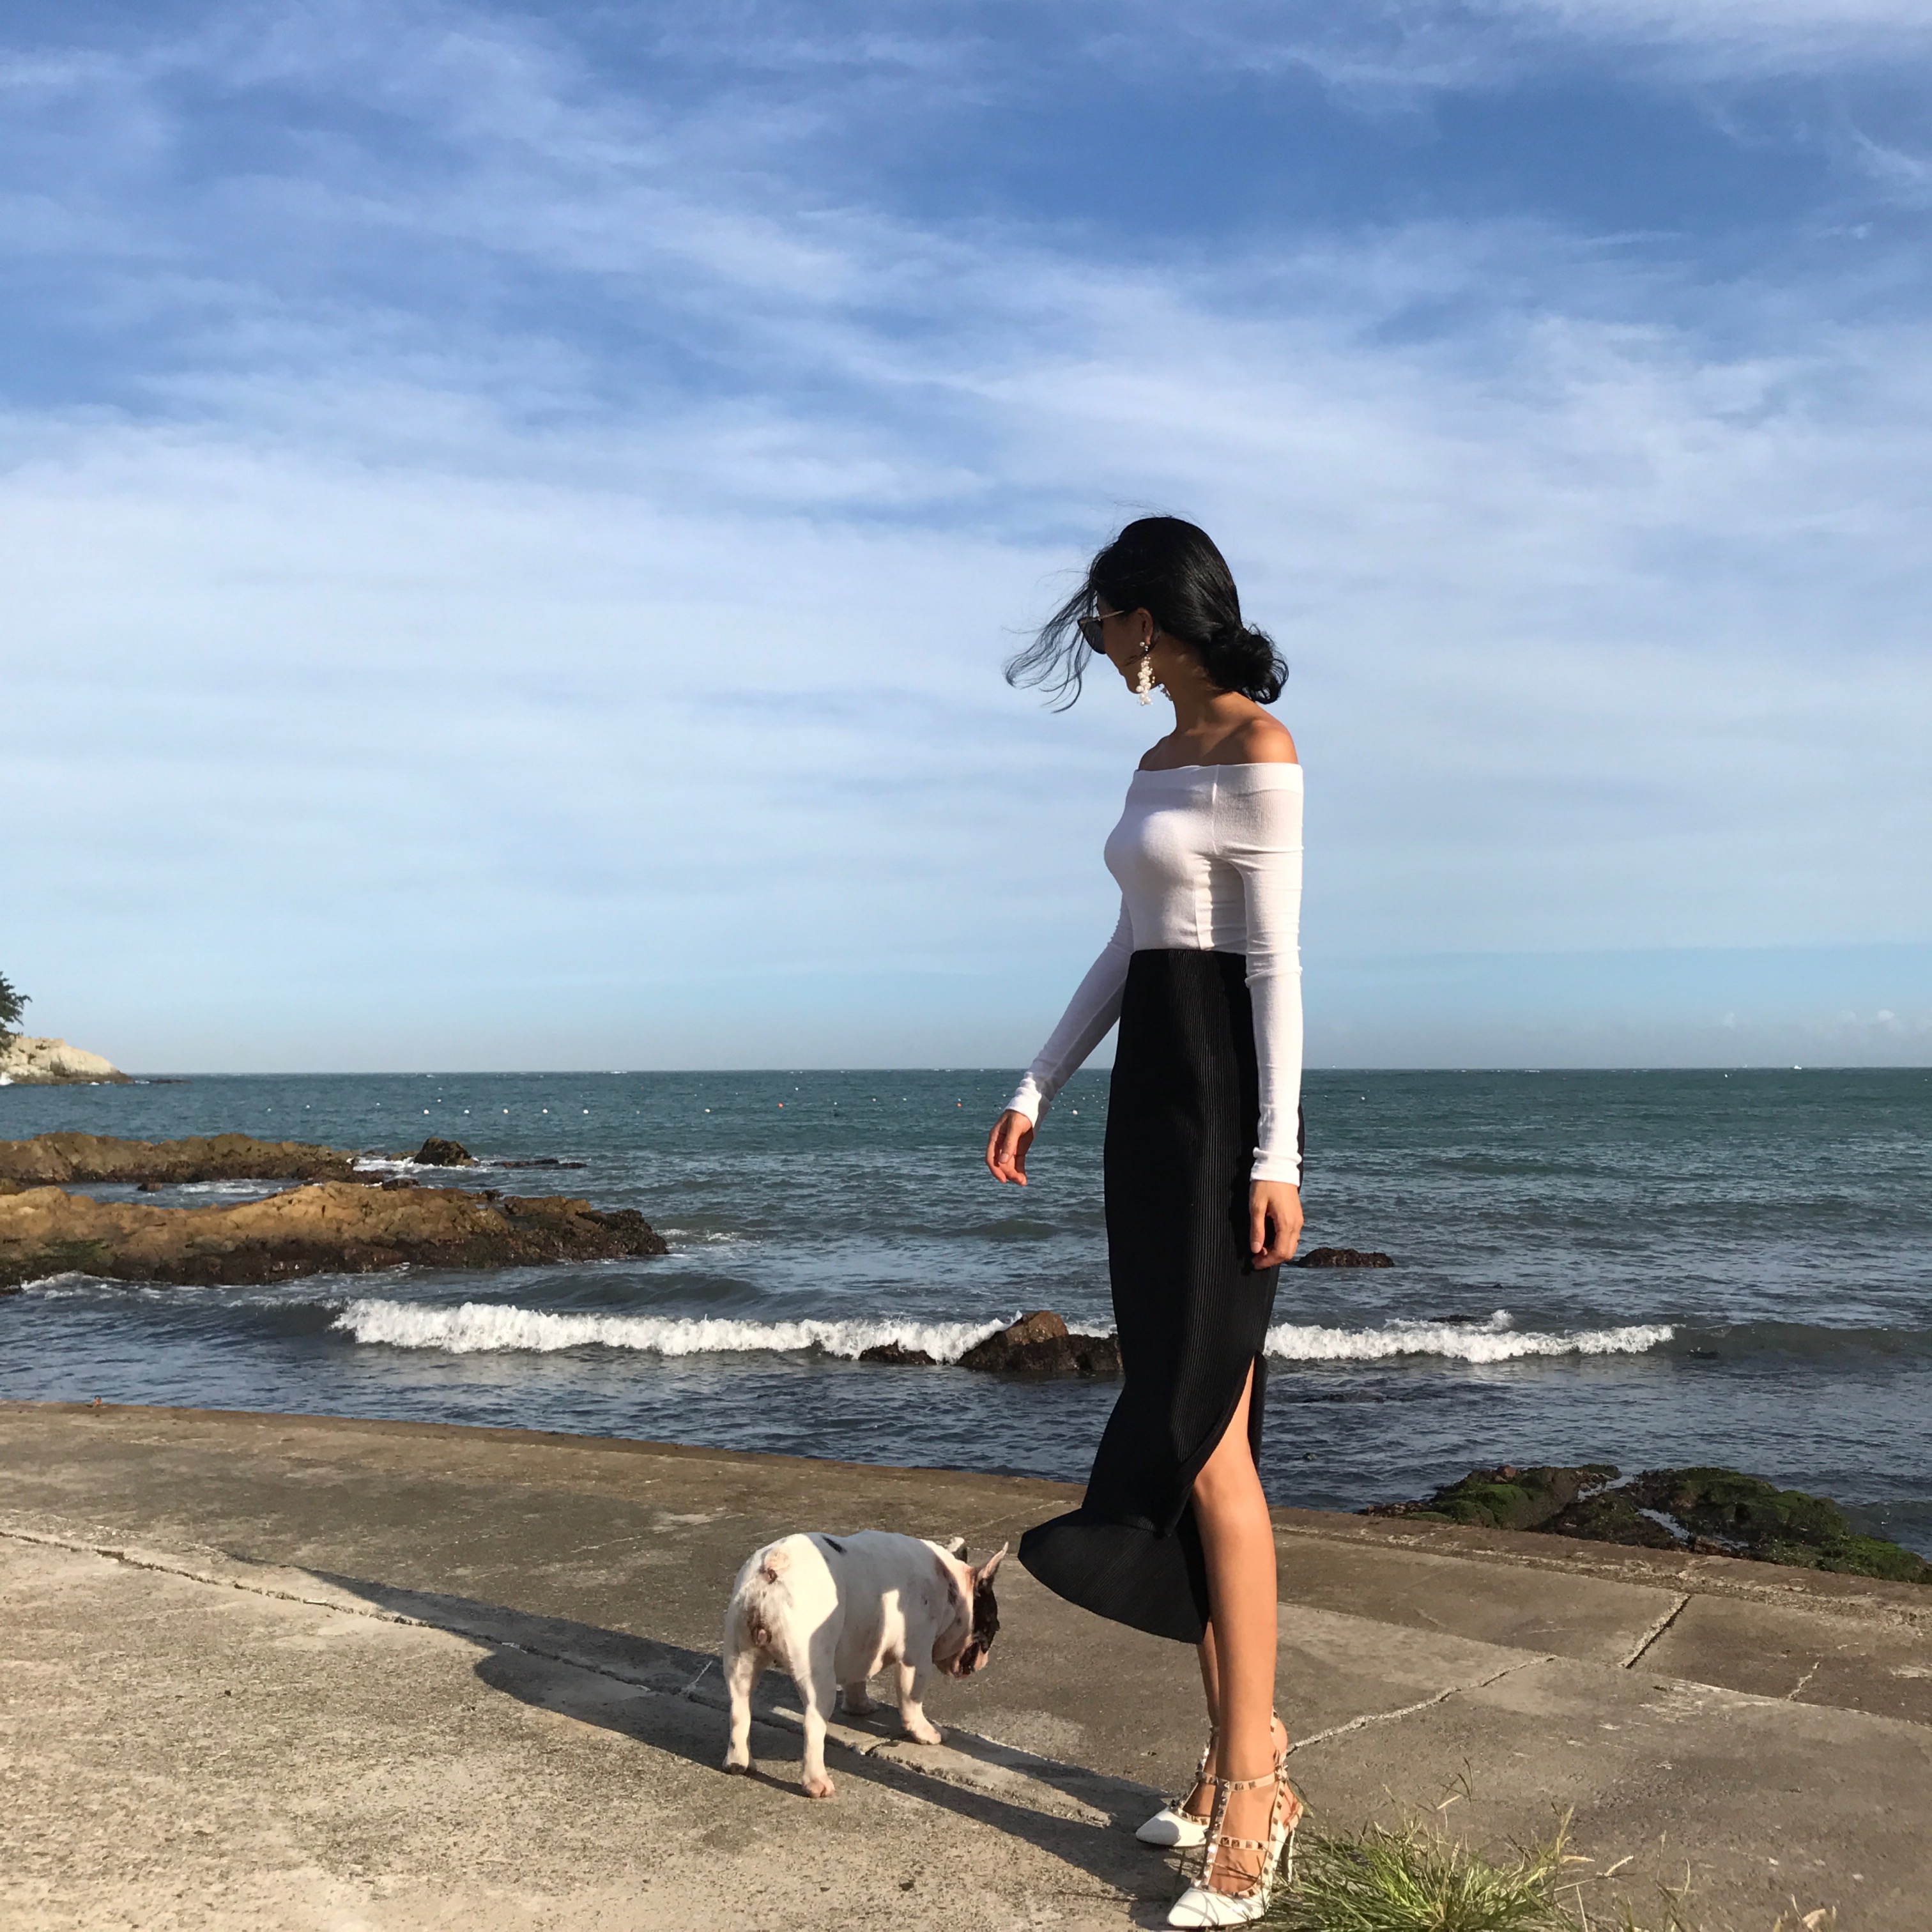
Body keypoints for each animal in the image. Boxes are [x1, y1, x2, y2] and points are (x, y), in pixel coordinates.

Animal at [721, 1530, 1007, 1798]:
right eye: (993, 1627)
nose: (985, 1660)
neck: (950, 1588)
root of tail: (774, 1566)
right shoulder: (916, 1658)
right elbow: (912, 1703)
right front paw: (928, 1734)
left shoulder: (862, 1643)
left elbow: (857, 1679)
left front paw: (860, 1707)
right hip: (816, 1674)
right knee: (813, 1723)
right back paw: (816, 1783)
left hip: (740, 1657)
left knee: (739, 1708)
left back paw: (739, 1762)